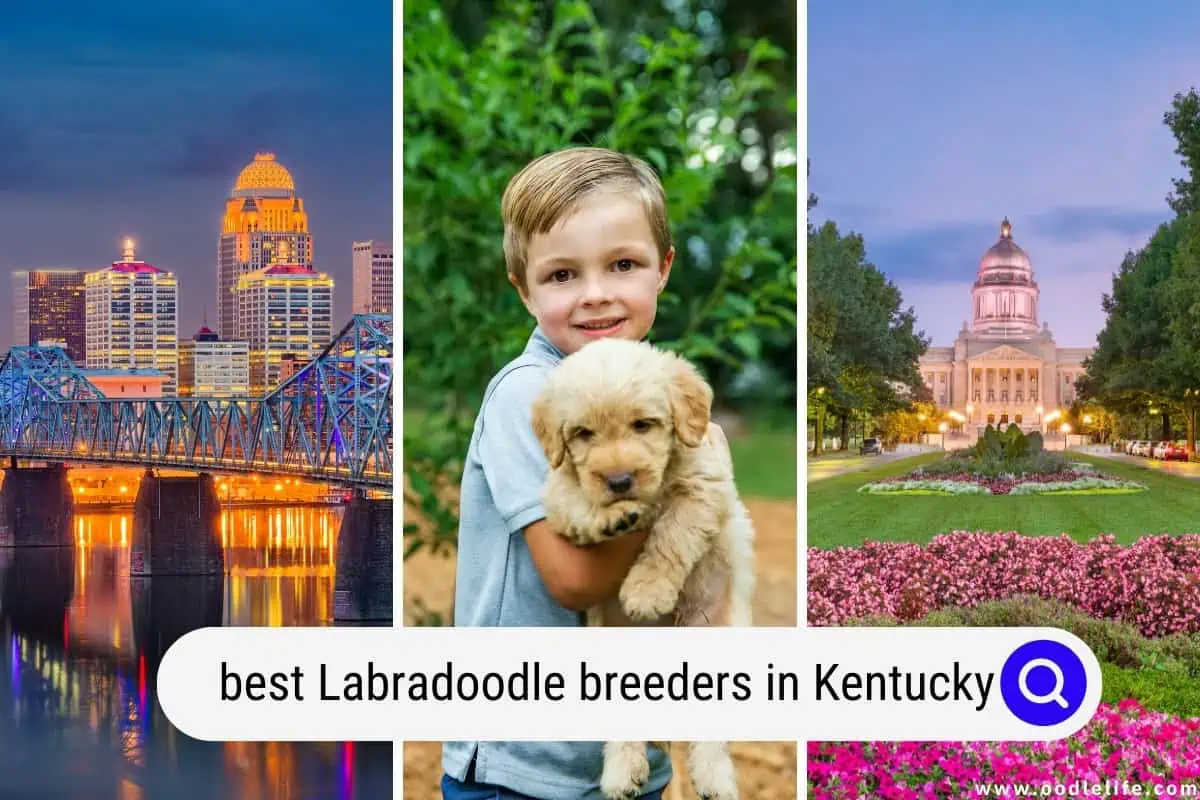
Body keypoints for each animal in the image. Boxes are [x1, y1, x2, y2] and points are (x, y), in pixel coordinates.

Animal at [532, 338, 753, 800]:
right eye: (583, 434)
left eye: (642, 425)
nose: (619, 481)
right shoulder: (558, 491)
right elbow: (577, 501)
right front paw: (609, 517)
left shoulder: (704, 488)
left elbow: (669, 538)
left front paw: (647, 591)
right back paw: (621, 774)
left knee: (710, 740)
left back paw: (715, 780)